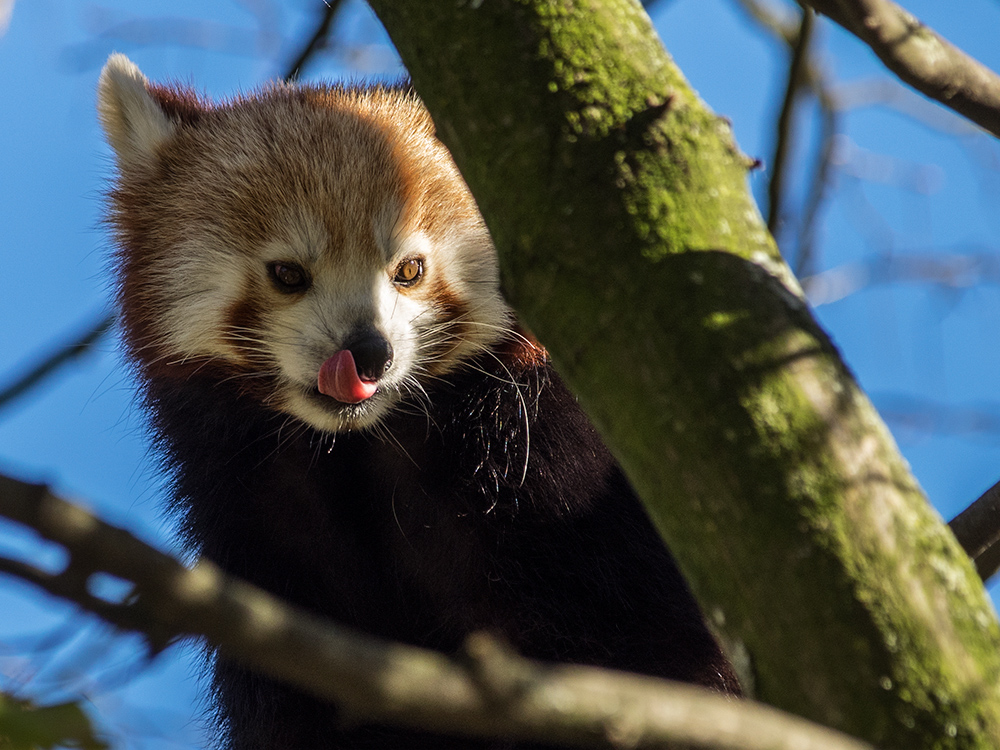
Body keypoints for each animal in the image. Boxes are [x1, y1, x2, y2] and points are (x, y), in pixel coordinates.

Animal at [97, 54, 740, 750]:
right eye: (288, 275)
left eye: (408, 270)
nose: (367, 354)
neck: (365, 448)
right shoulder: (266, 553)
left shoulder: (562, 484)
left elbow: (655, 653)